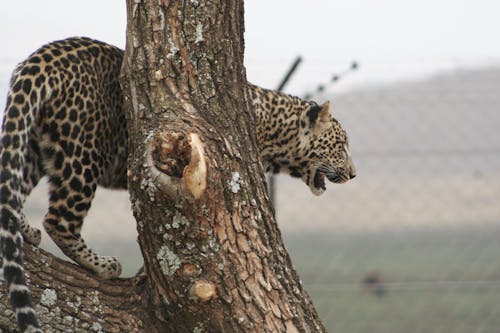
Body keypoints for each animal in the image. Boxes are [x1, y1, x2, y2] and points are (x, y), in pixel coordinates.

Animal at [0, 37, 354, 332]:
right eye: (341, 144)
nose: (353, 174)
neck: (275, 133)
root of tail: (43, 57)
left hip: (33, 145)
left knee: (13, 188)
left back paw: (25, 230)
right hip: (82, 152)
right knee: (58, 220)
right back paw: (102, 265)